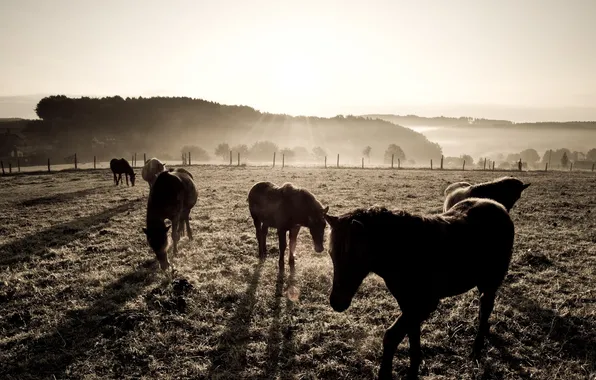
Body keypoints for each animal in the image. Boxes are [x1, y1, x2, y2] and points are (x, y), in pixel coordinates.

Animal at [324, 197, 516, 378]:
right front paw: (414, 365)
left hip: (489, 282)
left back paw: (477, 347)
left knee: (485, 307)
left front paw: (385, 374)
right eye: (331, 254)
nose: (337, 302)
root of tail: (498, 206)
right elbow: (412, 333)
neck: (410, 252)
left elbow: (391, 336)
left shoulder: (424, 305)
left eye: (355, 257)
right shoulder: (408, 304)